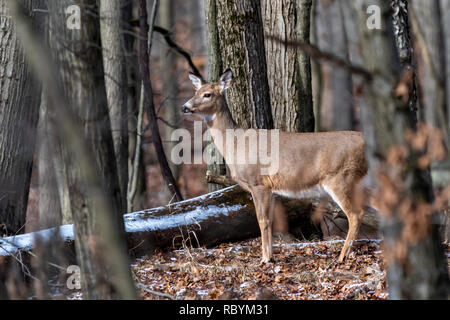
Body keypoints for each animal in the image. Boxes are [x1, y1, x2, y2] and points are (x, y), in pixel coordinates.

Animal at [181, 70, 368, 262]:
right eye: (195, 91)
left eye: (207, 94)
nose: (184, 107)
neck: (237, 144)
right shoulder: (270, 188)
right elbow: (270, 221)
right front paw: (270, 256)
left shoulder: (258, 182)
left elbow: (261, 220)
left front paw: (264, 258)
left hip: (340, 178)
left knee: (356, 215)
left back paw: (342, 256)